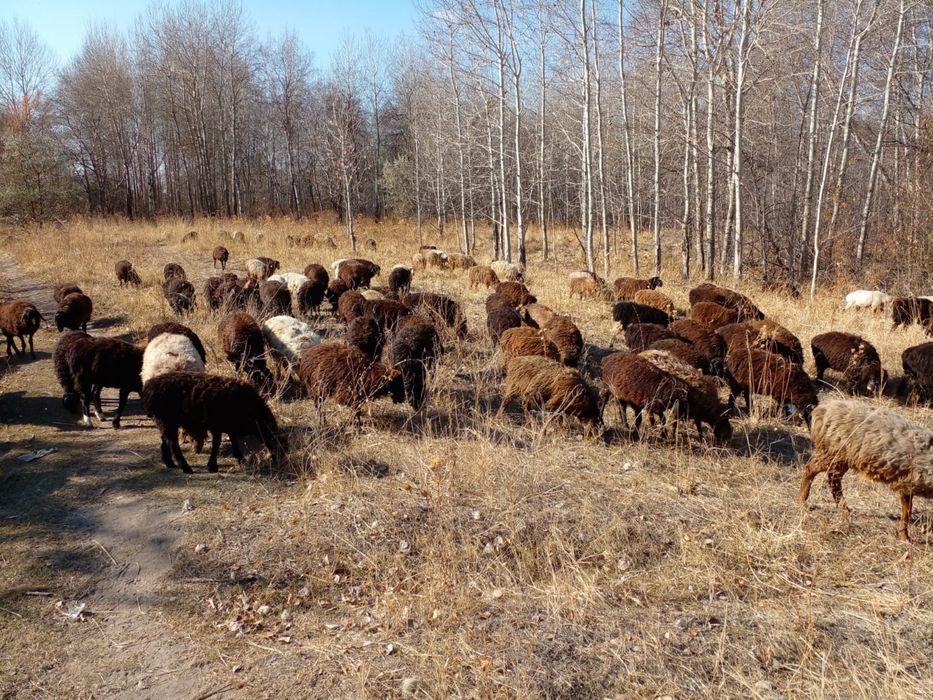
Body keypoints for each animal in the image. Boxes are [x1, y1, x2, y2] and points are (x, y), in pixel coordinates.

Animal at [141, 371, 283, 474]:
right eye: (272, 438)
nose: (279, 458)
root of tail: (148, 388)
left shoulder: (228, 426)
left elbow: (233, 440)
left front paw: (241, 459)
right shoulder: (217, 425)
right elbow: (217, 444)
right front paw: (212, 466)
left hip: (163, 421)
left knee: (165, 440)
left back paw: (169, 463)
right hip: (167, 421)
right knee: (173, 443)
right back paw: (186, 468)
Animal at [798, 399, 933, 540]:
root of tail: (820, 409)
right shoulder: (907, 482)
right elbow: (907, 511)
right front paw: (905, 537)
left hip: (840, 458)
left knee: (833, 480)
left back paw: (844, 509)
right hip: (832, 452)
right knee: (811, 469)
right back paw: (803, 501)